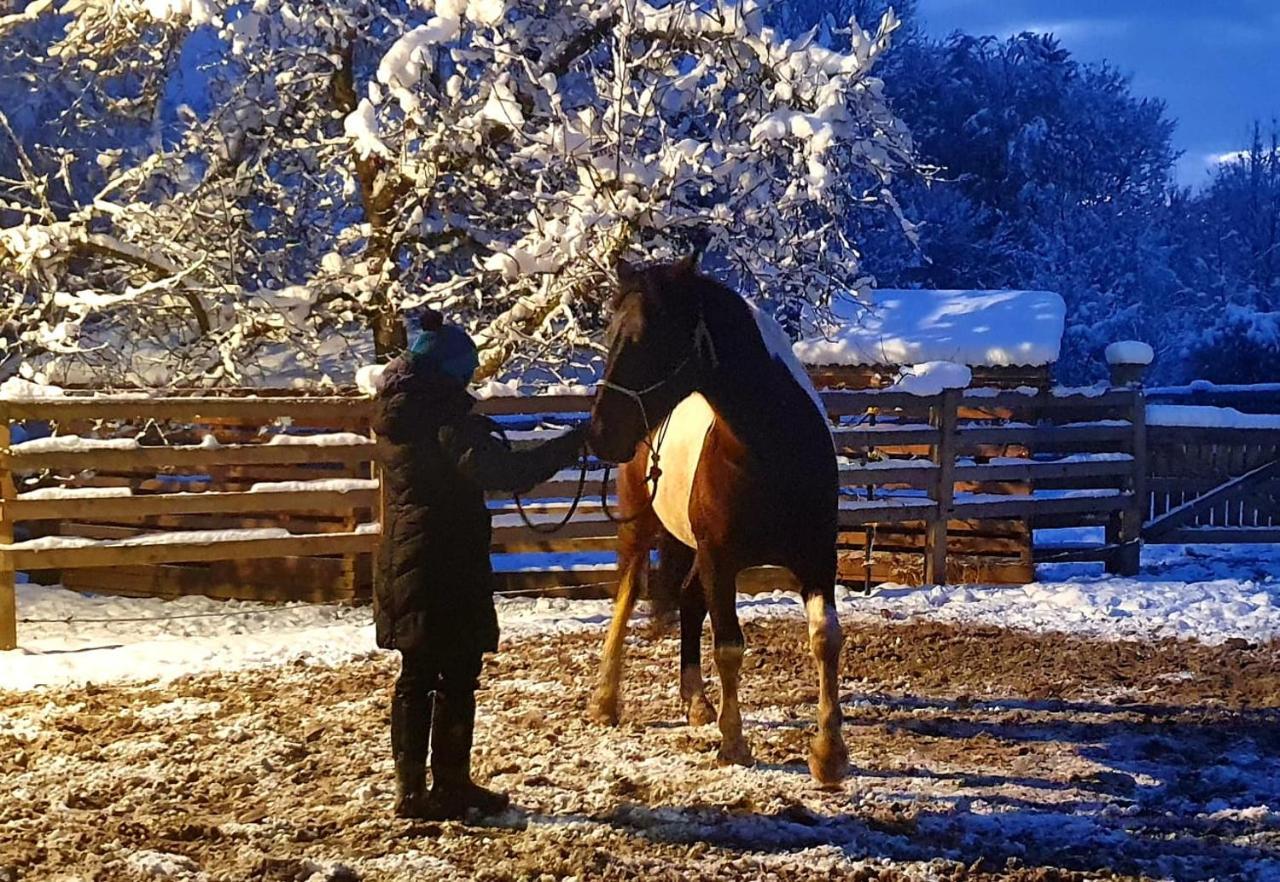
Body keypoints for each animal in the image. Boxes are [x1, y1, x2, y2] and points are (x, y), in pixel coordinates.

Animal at [586, 254, 849, 783]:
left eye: (651, 334)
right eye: (609, 331)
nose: (600, 432)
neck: (771, 453)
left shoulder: (817, 559)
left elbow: (825, 639)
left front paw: (829, 754)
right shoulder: (721, 560)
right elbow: (729, 645)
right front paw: (734, 743)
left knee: (688, 600)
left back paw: (696, 701)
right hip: (642, 530)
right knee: (626, 594)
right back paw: (606, 700)